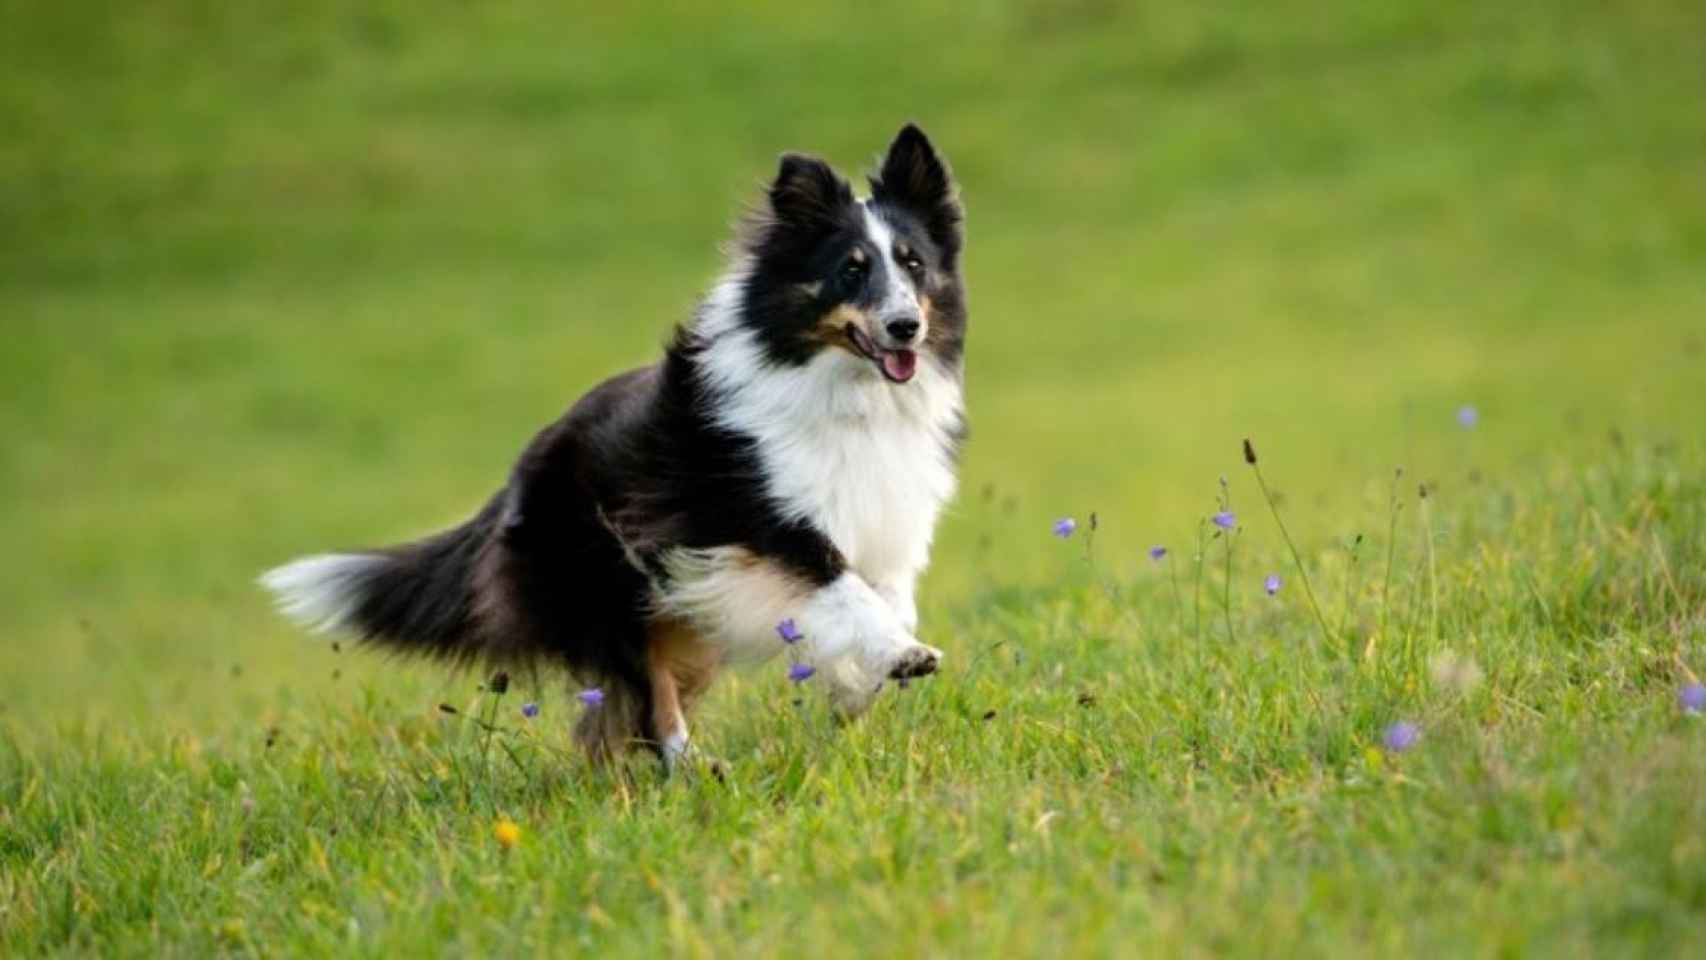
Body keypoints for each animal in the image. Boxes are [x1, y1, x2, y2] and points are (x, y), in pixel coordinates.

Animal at [259, 123, 969, 770]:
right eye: (850, 270)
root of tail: (518, 474)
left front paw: (859, 685)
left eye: (913, 262)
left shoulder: (880, 521)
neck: (844, 390)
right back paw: (692, 768)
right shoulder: (751, 519)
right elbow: (840, 589)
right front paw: (905, 657)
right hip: (612, 588)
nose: (905, 326)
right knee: (649, 700)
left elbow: (878, 599)